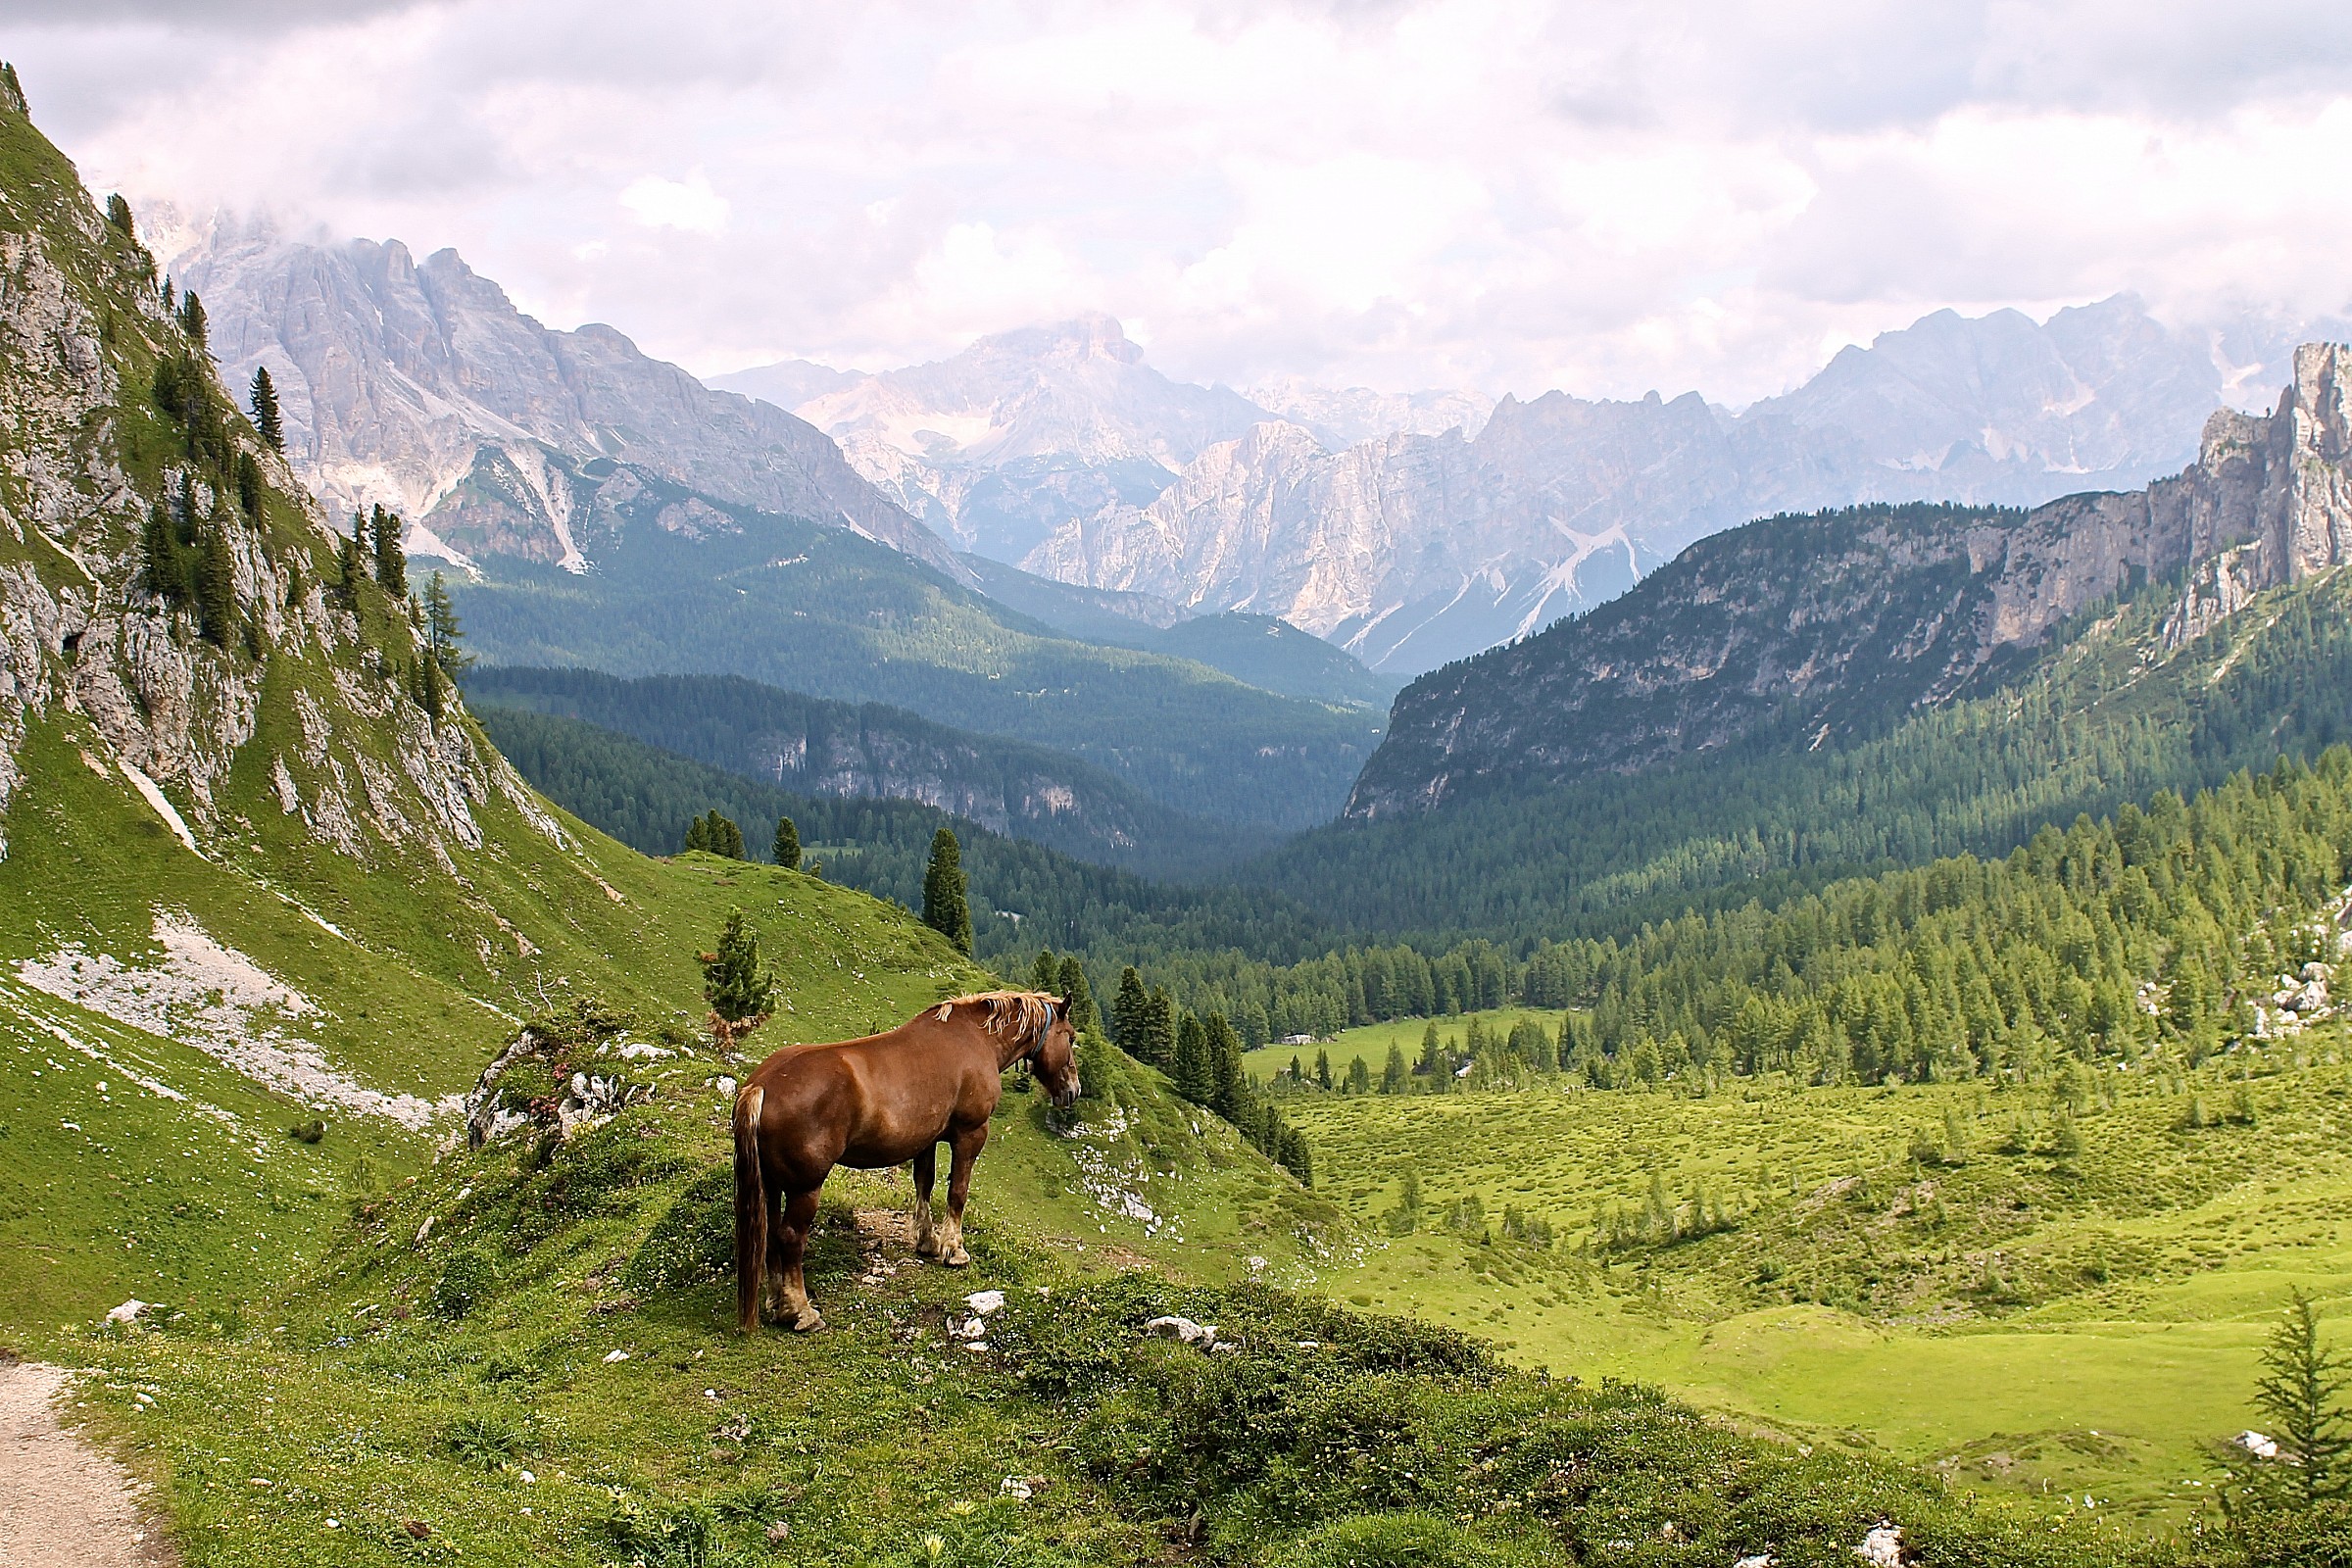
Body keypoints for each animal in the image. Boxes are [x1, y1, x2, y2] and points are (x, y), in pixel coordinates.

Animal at [731, 990, 1081, 1333]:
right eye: (1071, 1037)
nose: (1073, 1091)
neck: (976, 1038)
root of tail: (761, 1086)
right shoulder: (971, 1134)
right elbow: (957, 1193)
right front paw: (954, 1250)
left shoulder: (925, 1139)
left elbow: (924, 1184)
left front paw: (927, 1241)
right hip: (806, 1187)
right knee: (790, 1237)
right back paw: (801, 1311)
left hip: (772, 1182)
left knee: (770, 1233)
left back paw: (777, 1301)